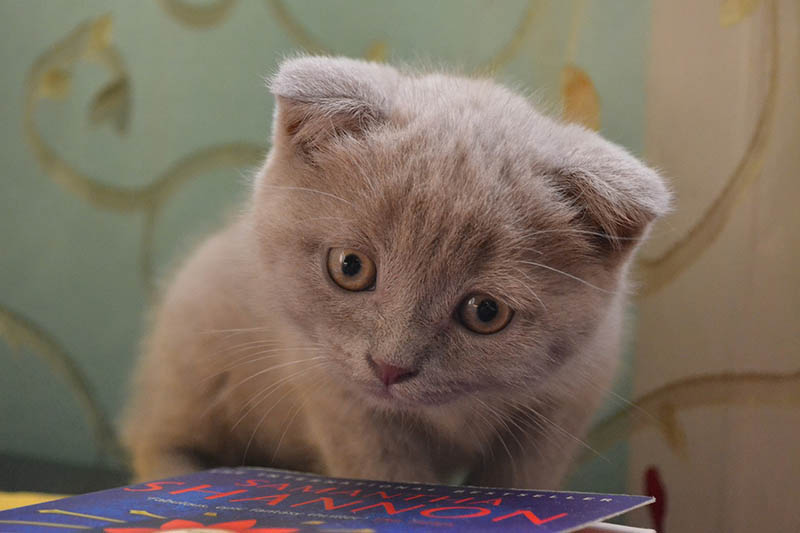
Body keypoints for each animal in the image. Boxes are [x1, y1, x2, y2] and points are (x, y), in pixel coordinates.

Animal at [122, 56, 672, 488]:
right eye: (350, 267)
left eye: (486, 311)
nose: (389, 367)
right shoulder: (335, 394)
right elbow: (388, 476)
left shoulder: (565, 403)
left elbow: (521, 482)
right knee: (155, 437)